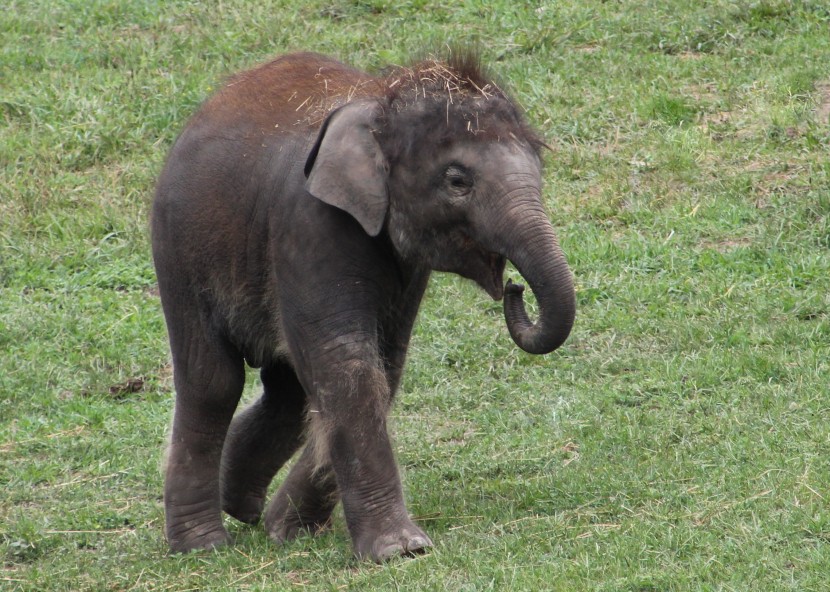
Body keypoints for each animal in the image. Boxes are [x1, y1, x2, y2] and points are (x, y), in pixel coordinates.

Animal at [153, 49, 576, 560]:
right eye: (457, 180)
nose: (515, 288)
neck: (381, 106)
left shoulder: (405, 267)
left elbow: (383, 363)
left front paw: (291, 530)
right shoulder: (308, 223)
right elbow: (347, 362)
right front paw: (402, 551)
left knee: (287, 392)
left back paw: (242, 506)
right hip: (178, 248)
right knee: (212, 381)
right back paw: (203, 545)